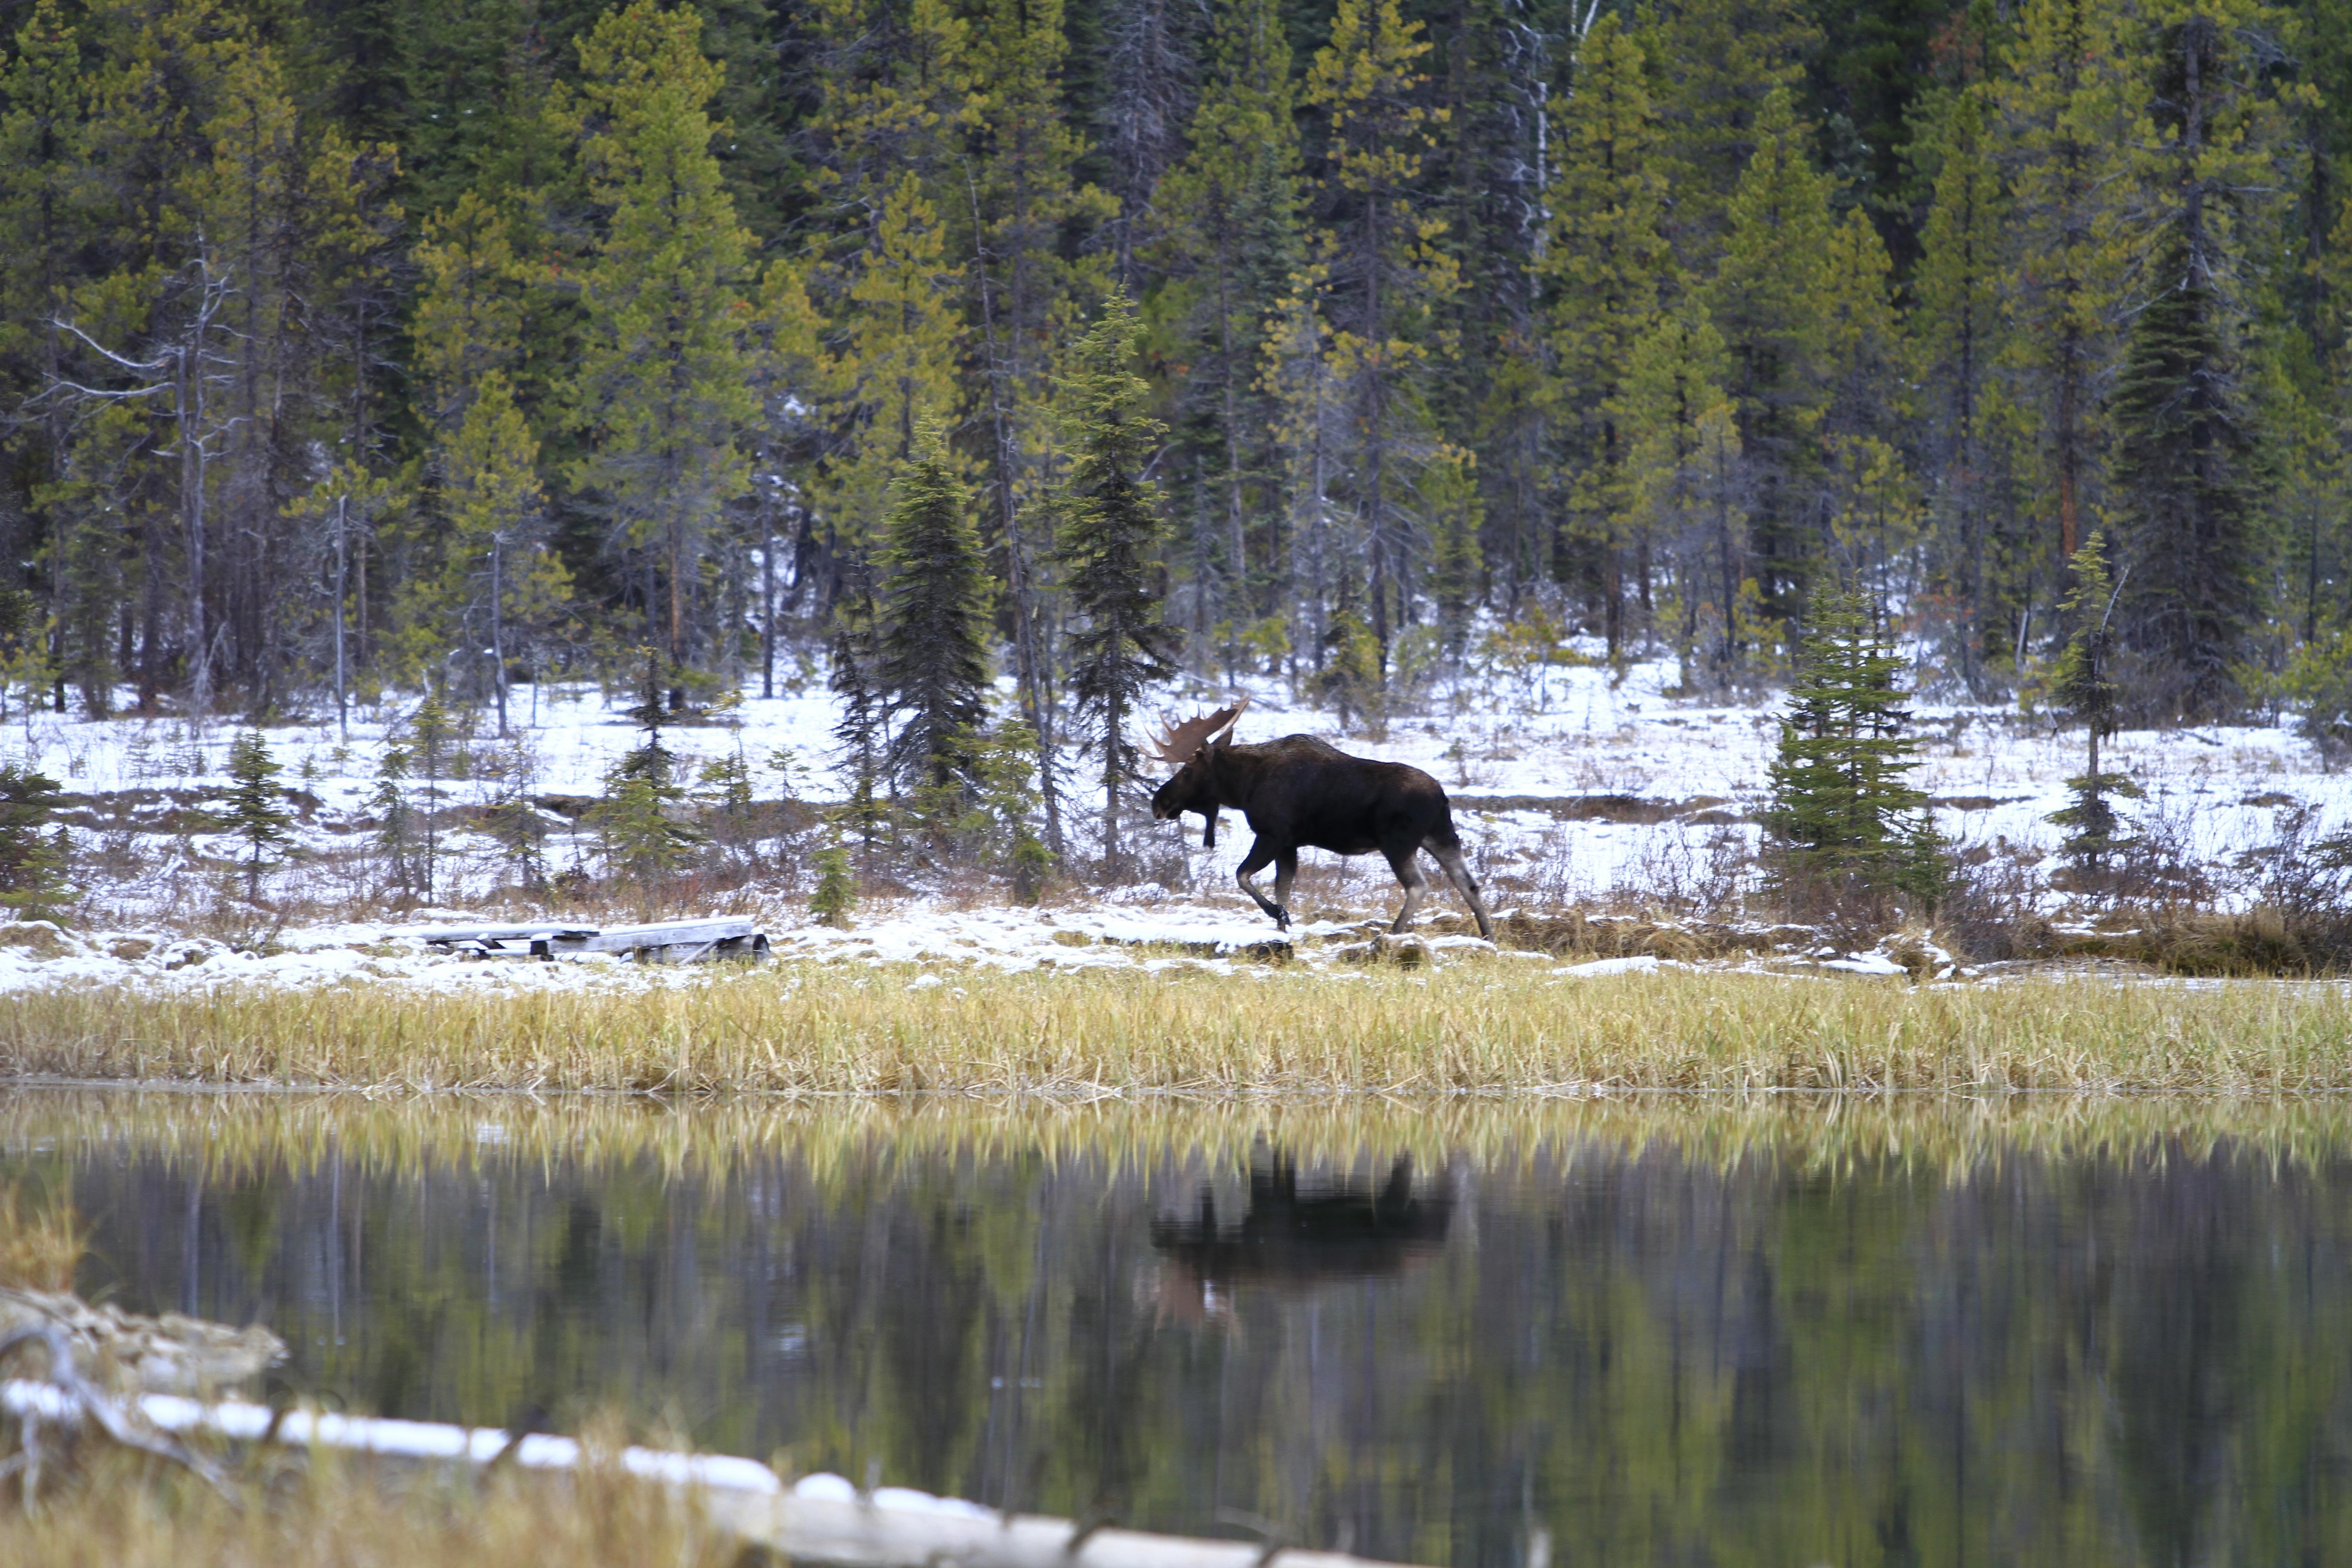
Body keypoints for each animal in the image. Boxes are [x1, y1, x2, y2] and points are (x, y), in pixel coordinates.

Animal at [1145, 698, 1495, 941]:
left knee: (1419, 886)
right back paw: (1488, 937)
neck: (1244, 786)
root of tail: (1441, 796)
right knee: (1469, 884)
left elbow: (1243, 876)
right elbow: (1283, 889)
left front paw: (1278, 915)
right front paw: (1282, 927)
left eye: (1187, 770)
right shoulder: (1289, 845)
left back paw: (1394, 933)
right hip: (1441, 836)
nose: (1158, 804)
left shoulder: (1272, 834)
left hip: (1398, 843)